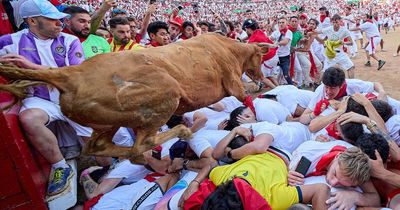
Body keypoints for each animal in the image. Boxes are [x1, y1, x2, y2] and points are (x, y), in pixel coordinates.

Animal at [0, 33, 266, 163]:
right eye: (260, 57)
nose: (262, 75)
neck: (229, 48)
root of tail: (70, 75)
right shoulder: (233, 82)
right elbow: (246, 94)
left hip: (107, 122)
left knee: (98, 146)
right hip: (164, 98)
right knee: (141, 145)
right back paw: (181, 133)